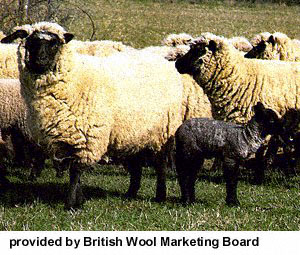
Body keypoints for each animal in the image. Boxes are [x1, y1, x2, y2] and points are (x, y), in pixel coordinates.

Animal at [5, 21, 185, 209]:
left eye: (55, 44)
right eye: (32, 42)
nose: (40, 60)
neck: (73, 79)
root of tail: (162, 61)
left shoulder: (86, 138)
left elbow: (75, 172)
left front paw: (71, 204)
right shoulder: (68, 139)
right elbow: (74, 171)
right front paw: (79, 200)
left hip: (163, 132)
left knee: (160, 165)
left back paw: (160, 195)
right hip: (134, 132)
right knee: (136, 164)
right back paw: (131, 193)